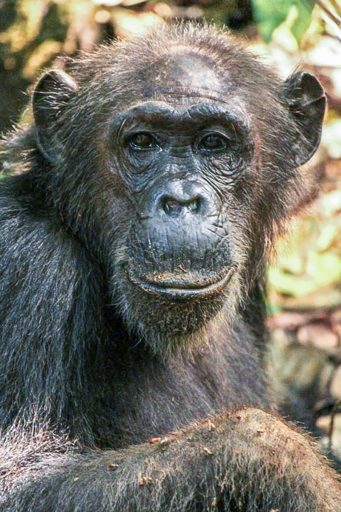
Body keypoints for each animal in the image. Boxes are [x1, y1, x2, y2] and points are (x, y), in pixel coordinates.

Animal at [0, 23, 338, 512]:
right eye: (143, 143)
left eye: (213, 143)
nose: (180, 200)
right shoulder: (27, 263)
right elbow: (20, 477)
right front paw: (284, 460)